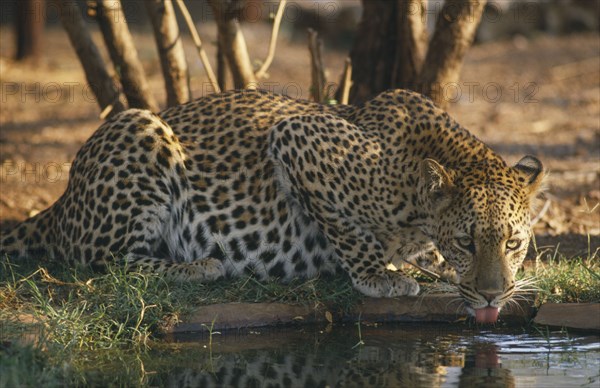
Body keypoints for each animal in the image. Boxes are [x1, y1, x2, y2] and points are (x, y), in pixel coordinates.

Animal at [0, 89, 544, 322]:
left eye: (514, 243)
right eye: (467, 242)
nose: (493, 297)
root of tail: (61, 202)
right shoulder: (296, 138)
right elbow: (348, 232)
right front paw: (379, 275)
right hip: (138, 128)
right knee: (108, 263)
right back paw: (200, 266)